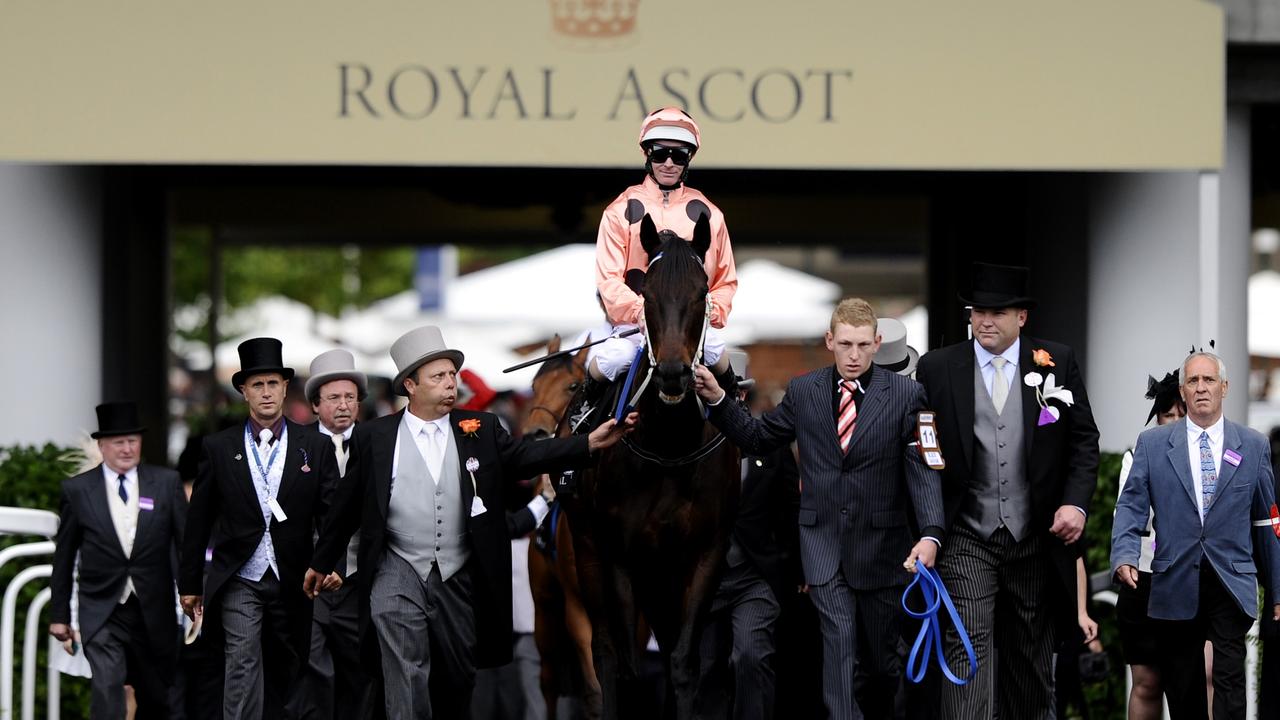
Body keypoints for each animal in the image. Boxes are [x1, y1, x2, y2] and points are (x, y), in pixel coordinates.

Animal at [576, 212, 747, 717]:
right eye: (647, 295)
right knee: (604, 649)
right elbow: (629, 666)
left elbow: (683, 662)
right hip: (588, 548)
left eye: (700, 292)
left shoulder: (704, 553)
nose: (672, 374)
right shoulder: (619, 555)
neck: (670, 449)